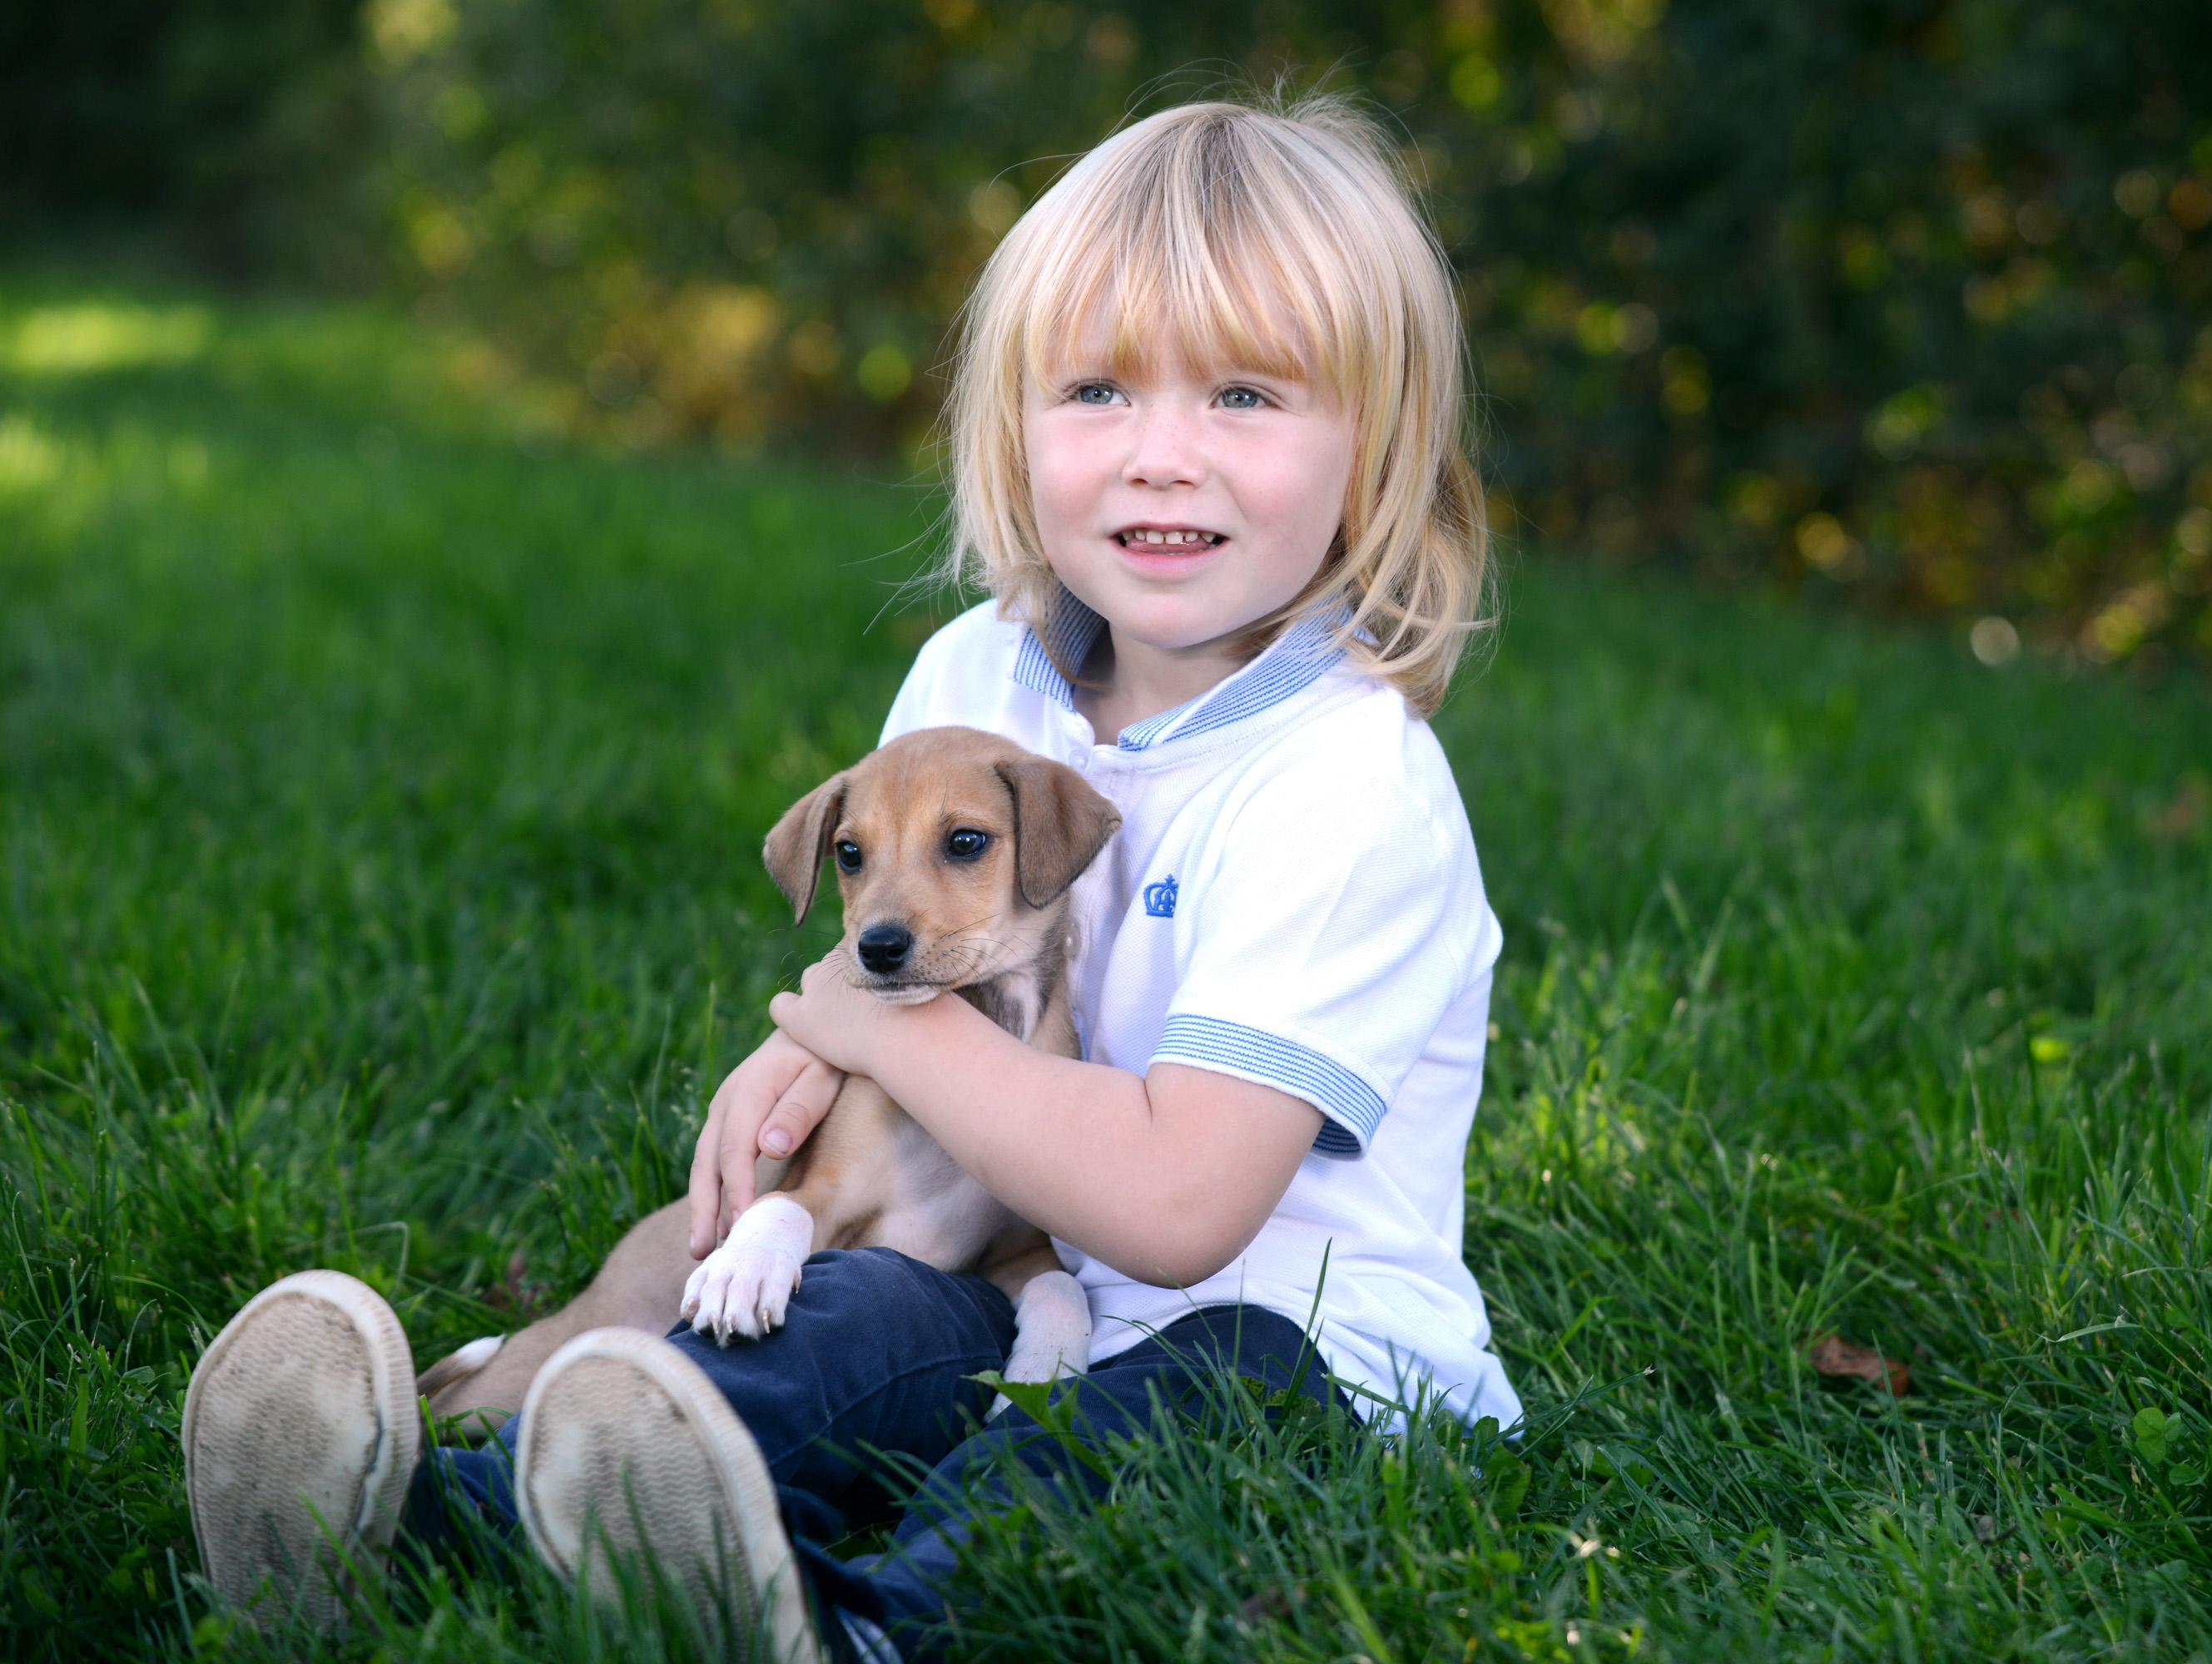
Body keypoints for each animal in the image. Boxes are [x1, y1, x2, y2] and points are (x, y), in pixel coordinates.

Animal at [414, 726, 1114, 1434]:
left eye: (966, 841)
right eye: (849, 853)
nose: (877, 948)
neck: (986, 1020)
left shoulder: (1015, 1247)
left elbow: (1063, 1288)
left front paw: (1040, 1376)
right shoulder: (826, 1188)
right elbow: (777, 1206)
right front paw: (741, 1275)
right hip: (515, 1378)